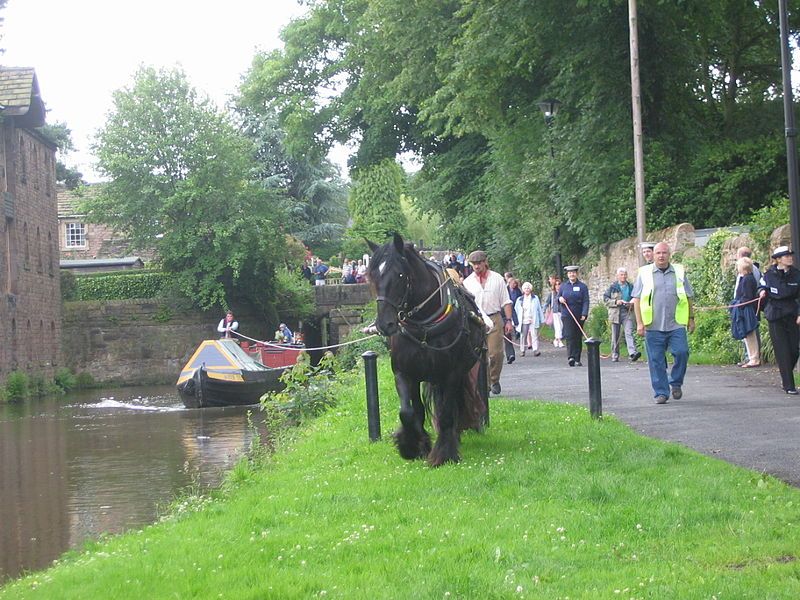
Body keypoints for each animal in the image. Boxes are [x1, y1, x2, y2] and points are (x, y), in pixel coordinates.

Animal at [368, 232, 488, 466]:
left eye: (400, 275)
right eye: (373, 276)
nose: (384, 324)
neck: (424, 325)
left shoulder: (451, 374)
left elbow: (446, 413)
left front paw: (443, 453)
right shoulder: (405, 373)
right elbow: (409, 412)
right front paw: (413, 445)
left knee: (449, 407)